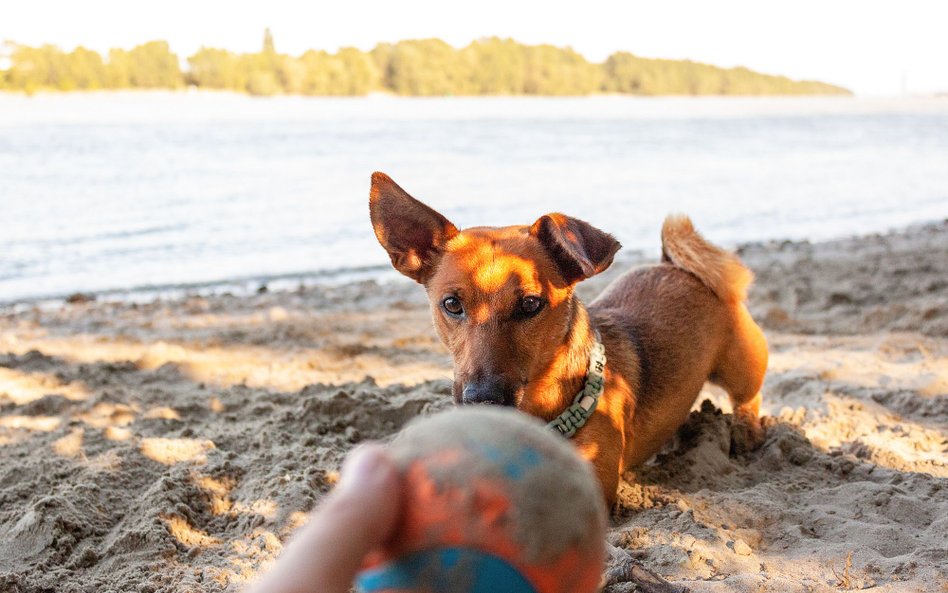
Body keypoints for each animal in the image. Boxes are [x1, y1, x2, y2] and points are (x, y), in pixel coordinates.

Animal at [366, 171, 768, 504]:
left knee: (749, 397)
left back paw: (746, 432)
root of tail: (673, 265)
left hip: (740, 367)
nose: (483, 399)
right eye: (451, 304)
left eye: (531, 304)